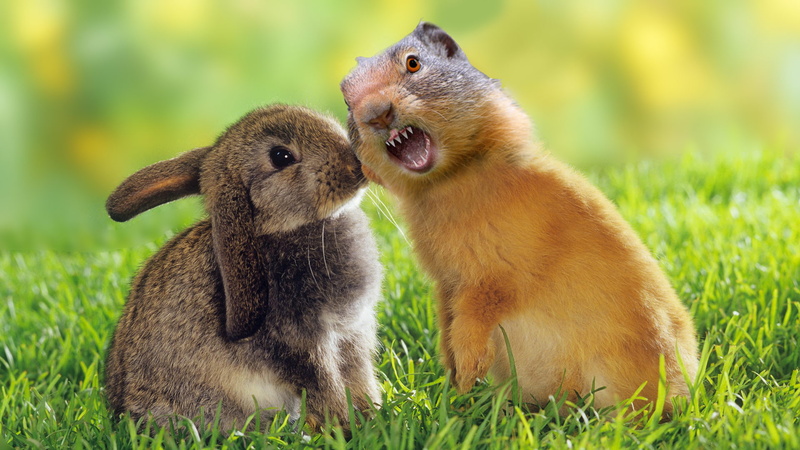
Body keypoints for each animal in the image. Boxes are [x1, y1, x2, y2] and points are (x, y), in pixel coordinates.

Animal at [341, 22, 699, 416]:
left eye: (413, 63)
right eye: (346, 98)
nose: (376, 113)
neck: (453, 177)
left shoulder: (492, 279)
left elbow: (473, 318)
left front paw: (468, 374)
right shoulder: (447, 285)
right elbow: (448, 324)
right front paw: (456, 381)